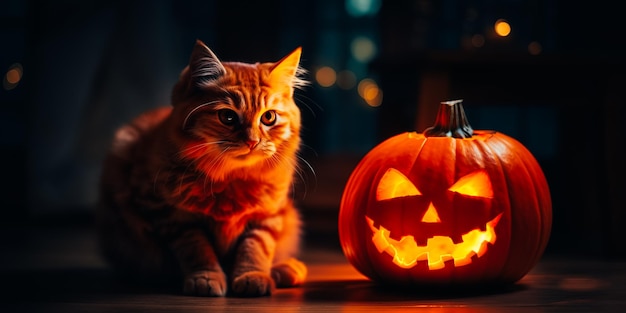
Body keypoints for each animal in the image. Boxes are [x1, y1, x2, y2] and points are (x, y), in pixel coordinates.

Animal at [96, 40, 308, 296]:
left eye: (268, 118)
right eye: (227, 117)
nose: (252, 141)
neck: (232, 180)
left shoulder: (268, 216)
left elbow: (256, 248)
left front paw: (252, 275)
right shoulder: (171, 215)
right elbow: (197, 250)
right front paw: (206, 277)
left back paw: (285, 269)